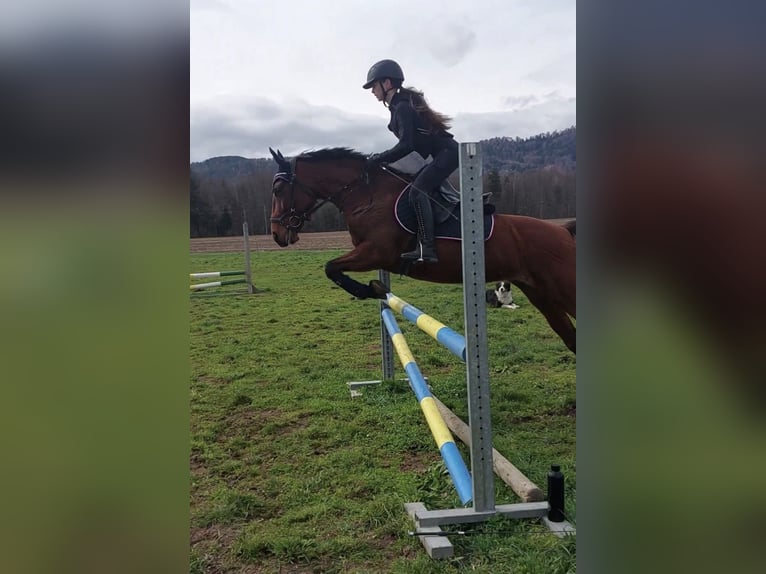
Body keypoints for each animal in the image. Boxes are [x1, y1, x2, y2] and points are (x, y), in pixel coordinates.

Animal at [269, 147, 576, 353]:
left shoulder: (377, 253)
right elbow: (333, 268)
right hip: (541, 296)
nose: (276, 234)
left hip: (561, 288)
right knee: (571, 337)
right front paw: (376, 289)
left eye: (278, 189)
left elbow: (331, 267)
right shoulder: (373, 256)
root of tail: (562, 231)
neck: (366, 196)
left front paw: (373, 289)